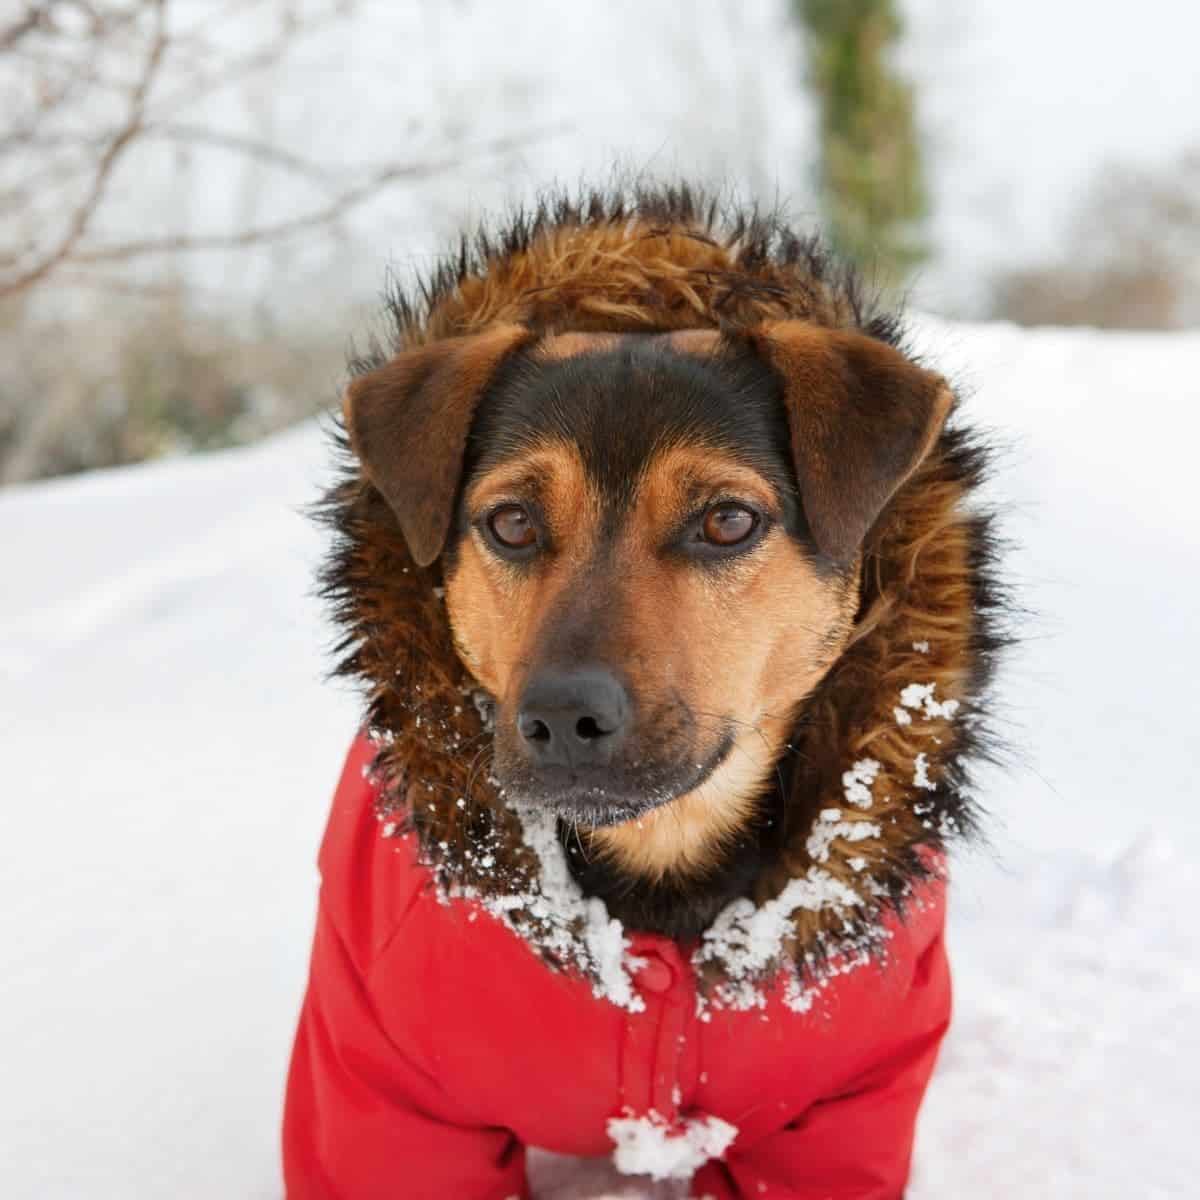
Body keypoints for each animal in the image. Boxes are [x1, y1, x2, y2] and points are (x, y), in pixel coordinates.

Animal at [283, 187, 1003, 1200]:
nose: (561, 717)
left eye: (727, 520)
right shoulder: (377, 1086)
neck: (658, 865)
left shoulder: (839, 1115)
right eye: (511, 522)